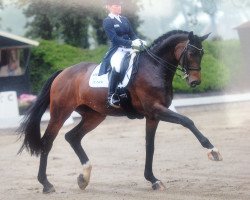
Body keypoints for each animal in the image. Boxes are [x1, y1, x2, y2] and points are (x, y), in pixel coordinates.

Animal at [19, 30, 223, 194]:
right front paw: (213, 151)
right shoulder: (156, 109)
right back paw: (46, 184)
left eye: (202, 53)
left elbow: (150, 146)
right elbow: (187, 121)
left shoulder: (153, 116)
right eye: (191, 52)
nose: (195, 82)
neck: (154, 67)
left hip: (95, 115)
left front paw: (153, 180)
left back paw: (84, 177)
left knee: (72, 137)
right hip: (60, 113)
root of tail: (63, 73)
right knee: (47, 142)